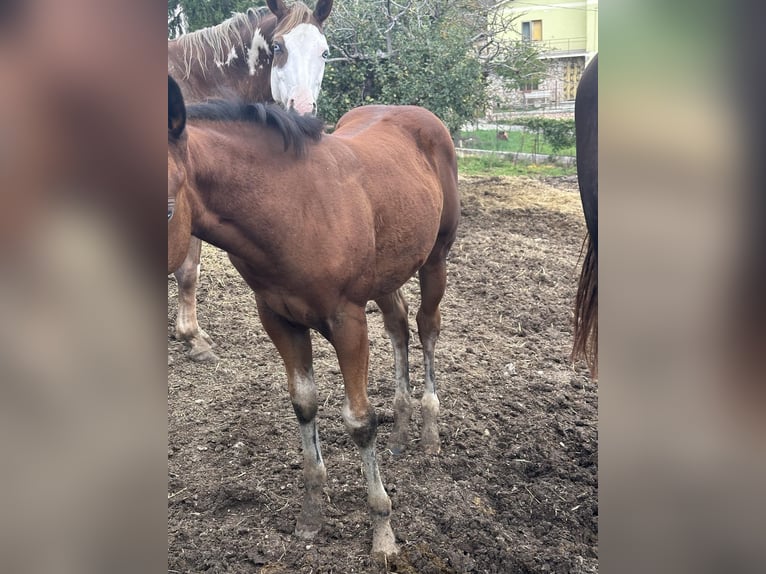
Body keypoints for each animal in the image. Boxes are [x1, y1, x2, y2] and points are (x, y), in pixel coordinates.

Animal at [168, 76, 462, 560]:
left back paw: (429, 432)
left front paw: (382, 530)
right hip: (386, 272)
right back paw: (401, 430)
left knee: (426, 327)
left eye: (168, 208)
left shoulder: (347, 320)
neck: (292, 210)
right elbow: (303, 403)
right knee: (398, 324)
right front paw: (311, 513)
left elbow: (359, 420)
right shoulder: (277, 317)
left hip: (435, 258)